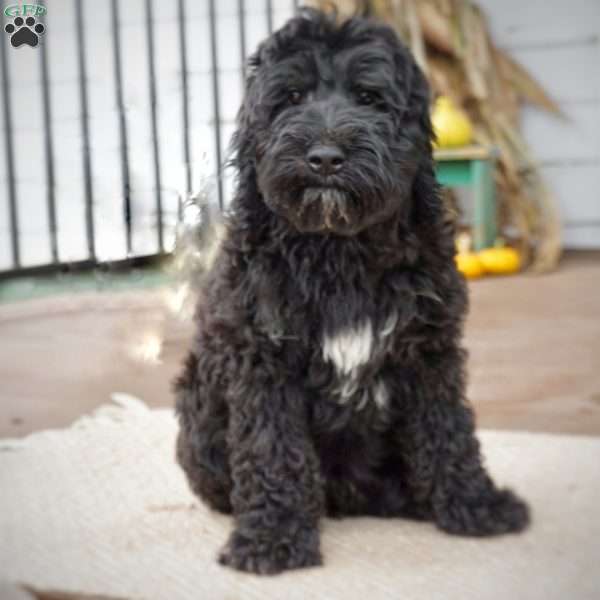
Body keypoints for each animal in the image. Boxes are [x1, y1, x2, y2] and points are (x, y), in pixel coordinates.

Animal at [175, 7, 528, 576]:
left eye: (369, 97)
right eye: (291, 97)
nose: (324, 158)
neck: (337, 250)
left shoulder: (428, 350)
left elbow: (447, 429)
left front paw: (474, 504)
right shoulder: (261, 359)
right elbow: (271, 449)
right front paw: (272, 538)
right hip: (197, 405)